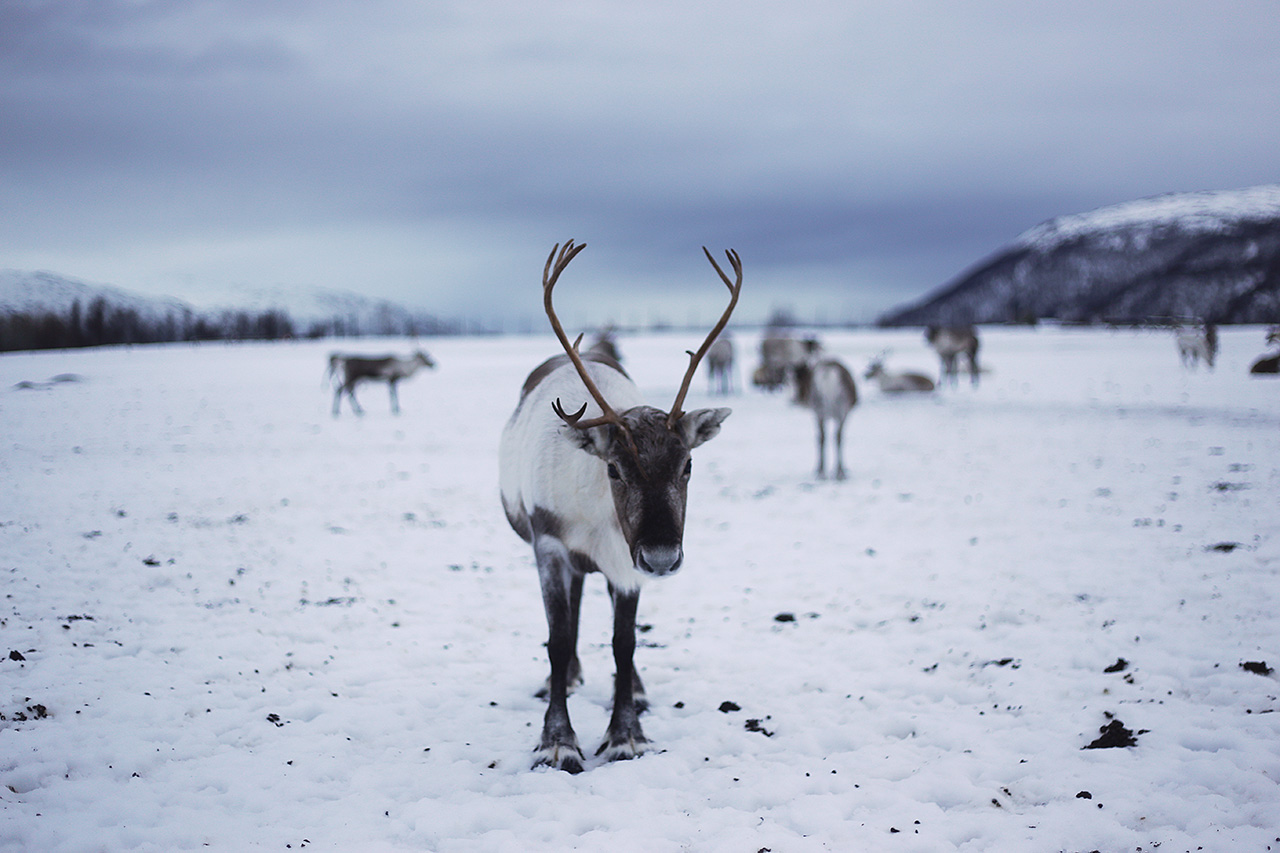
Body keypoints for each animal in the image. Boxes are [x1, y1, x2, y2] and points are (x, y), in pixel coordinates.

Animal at [499, 241, 739, 773]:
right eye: (614, 469)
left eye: (688, 464)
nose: (663, 557)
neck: (595, 519)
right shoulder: (550, 546)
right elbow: (558, 637)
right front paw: (557, 740)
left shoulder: (625, 563)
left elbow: (623, 643)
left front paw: (626, 734)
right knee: (570, 616)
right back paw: (566, 678)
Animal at [793, 352, 858, 480]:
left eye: (801, 377)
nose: (796, 399)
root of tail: (827, 374)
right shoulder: (844, 414)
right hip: (840, 410)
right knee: (837, 437)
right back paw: (839, 473)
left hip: (819, 410)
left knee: (821, 437)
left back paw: (821, 472)